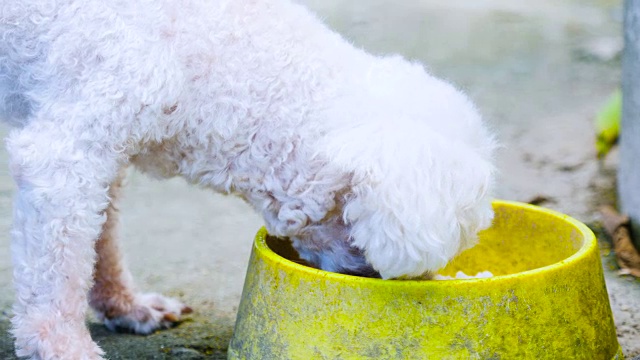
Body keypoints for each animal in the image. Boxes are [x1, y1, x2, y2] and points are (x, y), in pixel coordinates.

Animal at [0, 1, 496, 358]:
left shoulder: (106, 151)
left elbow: (100, 239)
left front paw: (126, 306)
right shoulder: (63, 157)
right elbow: (59, 270)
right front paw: (64, 348)